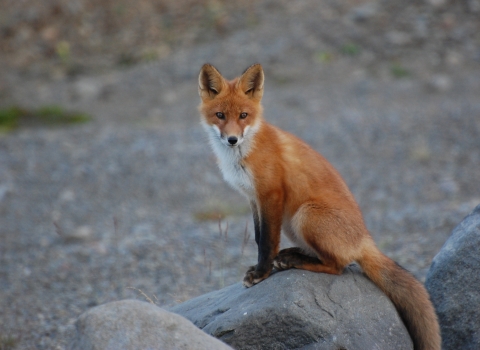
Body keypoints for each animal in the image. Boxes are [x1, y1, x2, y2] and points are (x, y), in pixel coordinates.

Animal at [197, 63, 440, 350]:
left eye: (244, 115)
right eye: (220, 115)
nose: (232, 139)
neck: (244, 154)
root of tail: (364, 239)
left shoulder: (271, 194)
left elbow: (266, 241)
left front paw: (261, 273)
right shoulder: (253, 198)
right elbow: (258, 237)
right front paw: (261, 268)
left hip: (305, 215)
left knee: (338, 266)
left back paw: (295, 261)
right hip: (292, 224)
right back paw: (292, 255)